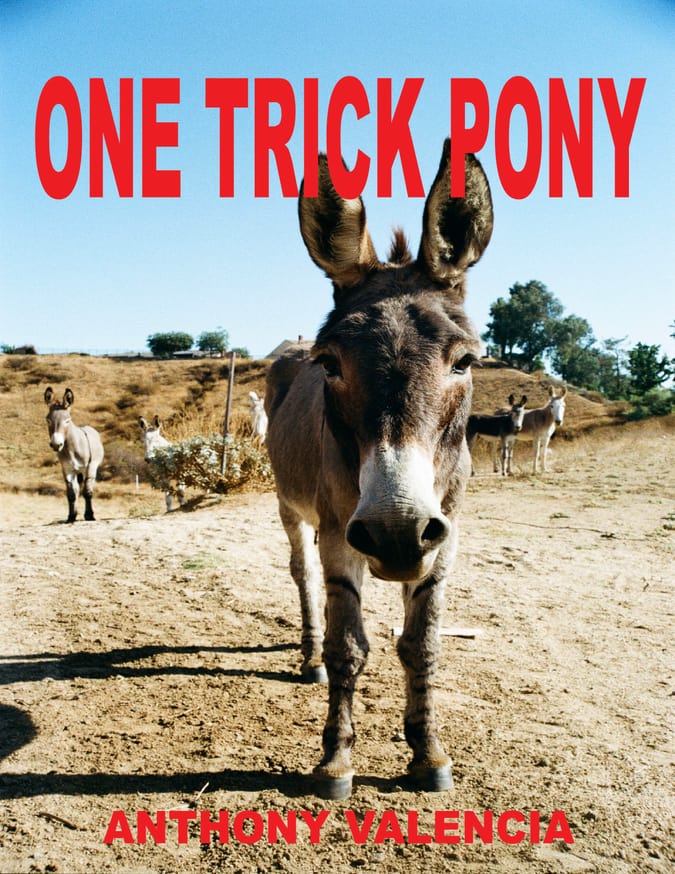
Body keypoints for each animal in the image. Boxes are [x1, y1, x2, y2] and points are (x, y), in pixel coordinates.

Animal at [44, 387, 104, 523]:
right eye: (48, 420)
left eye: (67, 421)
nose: (56, 444)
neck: (71, 449)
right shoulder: (67, 470)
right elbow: (71, 494)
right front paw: (71, 517)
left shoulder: (89, 467)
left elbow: (87, 492)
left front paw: (89, 515)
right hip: (76, 472)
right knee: (76, 490)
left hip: (91, 468)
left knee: (88, 487)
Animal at [265, 139, 493, 799]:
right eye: (330, 363)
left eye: (465, 361)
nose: (396, 532)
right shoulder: (342, 535)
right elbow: (348, 646)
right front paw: (336, 760)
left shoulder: (445, 537)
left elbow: (423, 646)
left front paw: (428, 754)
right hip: (292, 509)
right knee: (303, 578)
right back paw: (309, 655)